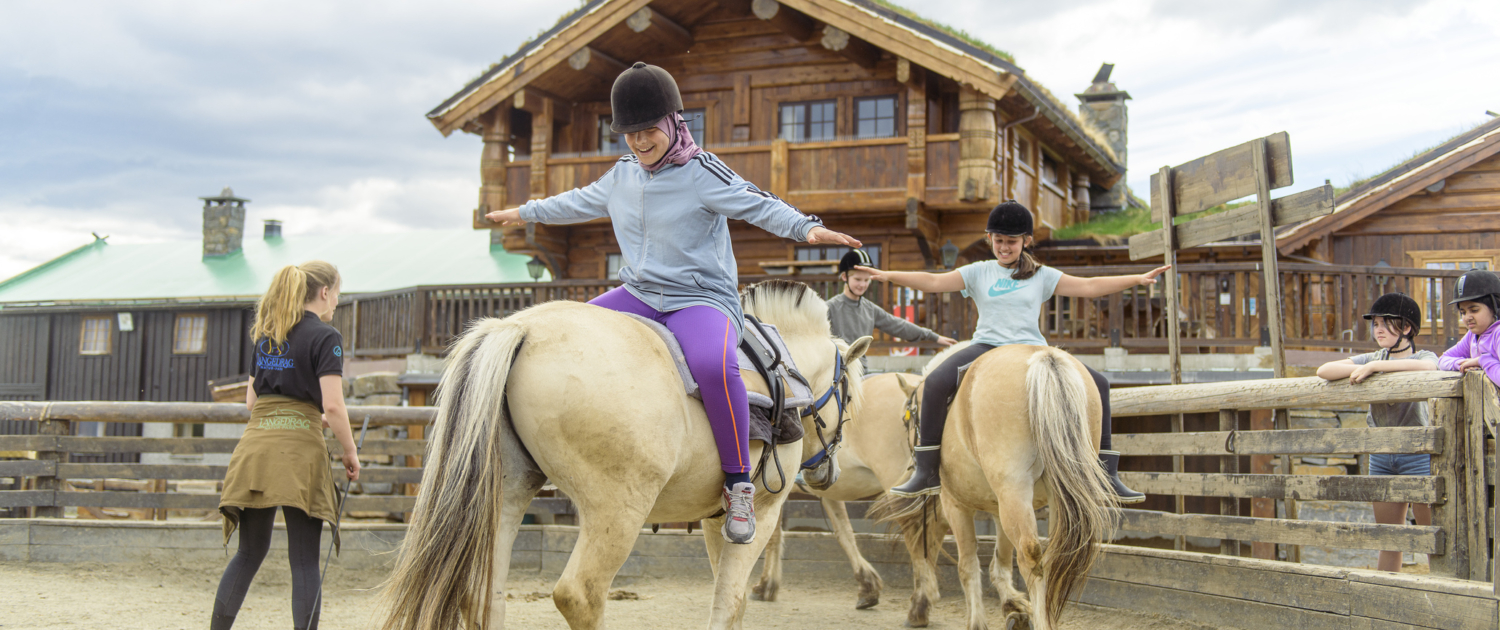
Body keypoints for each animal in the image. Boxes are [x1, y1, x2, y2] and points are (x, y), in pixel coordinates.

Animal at [375, 282, 870, 630]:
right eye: (849, 394)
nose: (826, 473)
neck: (779, 369)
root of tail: (522, 327)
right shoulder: (762, 513)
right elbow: (730, 601)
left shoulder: (718, 520)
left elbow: (727, 597)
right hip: (618, 509)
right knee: (580, 595)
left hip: (507, 496)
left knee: (483, 594)